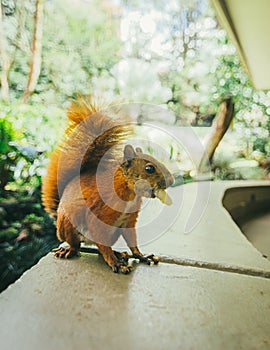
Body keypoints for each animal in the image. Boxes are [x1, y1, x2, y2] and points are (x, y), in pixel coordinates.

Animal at [41, 95, 174, 274]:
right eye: (149, 168)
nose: (172, 180)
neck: (129, 193)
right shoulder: (100, 213)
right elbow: (100, 237)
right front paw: (115, 263)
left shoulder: (128, 220)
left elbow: (132, 241)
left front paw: (141, 256)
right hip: (68, 225)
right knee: (78, 245)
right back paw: (70, 250)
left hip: (114, 232)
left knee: (99, 248)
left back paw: (119, 253)